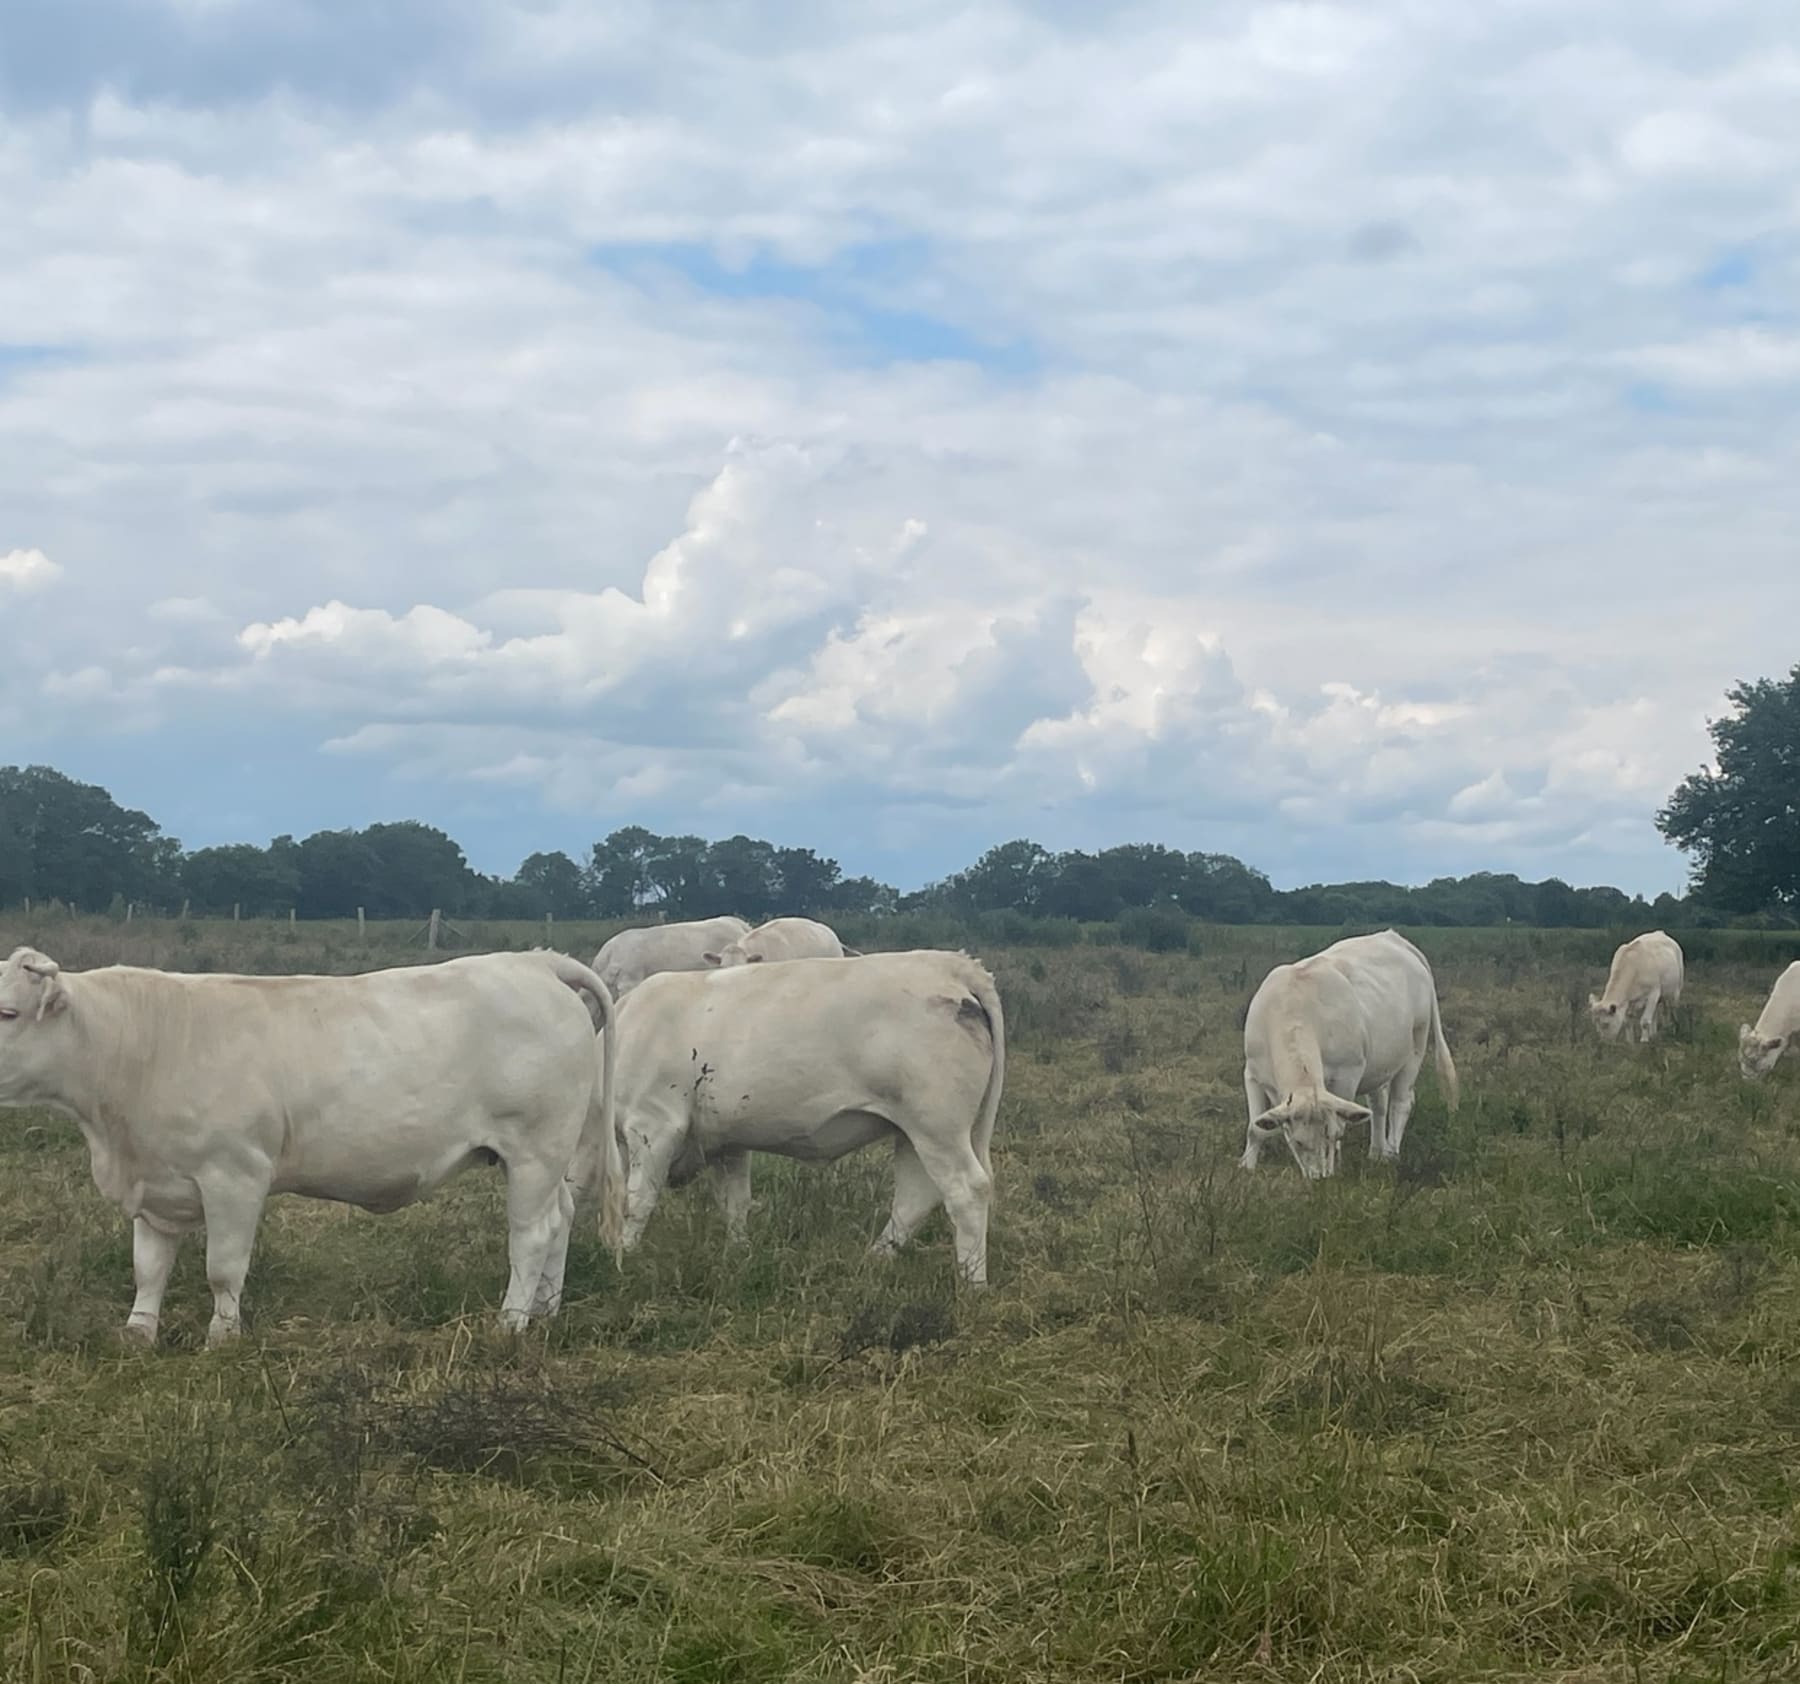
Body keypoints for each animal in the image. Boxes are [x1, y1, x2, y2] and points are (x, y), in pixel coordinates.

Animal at [0, 957, 626, 1345]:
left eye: (8, 1012)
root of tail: (534, 962)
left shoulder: (234, 1174)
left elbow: (222, 1269)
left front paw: (222, 1337)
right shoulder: (156, 1183)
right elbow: (148, 1267)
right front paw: (138, 1333)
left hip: (535, 1149)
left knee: (532, 1234)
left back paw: (511, 1322)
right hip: (547, 1159)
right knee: (561, 1217)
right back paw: (546, 1310)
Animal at [612, 949, 1008, 1288]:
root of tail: (949, 964)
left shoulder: (653, 1125)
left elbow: (636, 1200)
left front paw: (623, 1258)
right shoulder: (728, 1142)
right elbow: (734, 1203)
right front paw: (737, 1254)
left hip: (937, 1126)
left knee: (966, 1190)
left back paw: (972, 1283)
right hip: (911, 1131)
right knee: (915, 1196)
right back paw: (875, 1259)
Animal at [1238, 928, 1461, 1180]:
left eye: (1330, 1136)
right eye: (1298, 1142)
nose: (1320, 1179)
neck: (1292, 1008)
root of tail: (1394, 939)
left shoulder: (1347, 1073)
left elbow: (1341, 1120)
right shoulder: (1253, 1074)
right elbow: (1255, 1129)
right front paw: (1246, 1168)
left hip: (1416, 1045)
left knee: (1401, 1103)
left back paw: (1390, 1154)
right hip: (1379, 1064)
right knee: (1378, 1105)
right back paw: (1376, 1152)